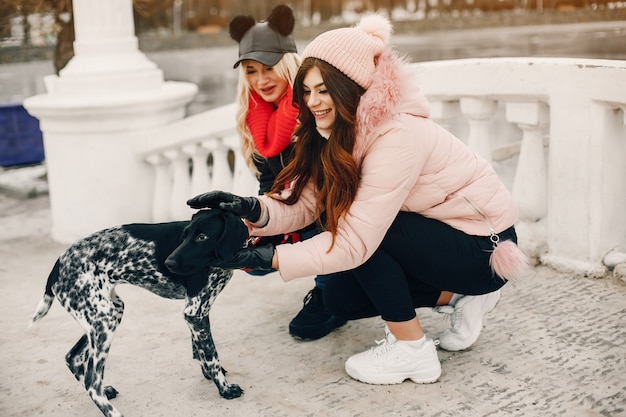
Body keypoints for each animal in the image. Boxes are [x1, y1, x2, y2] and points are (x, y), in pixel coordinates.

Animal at [29, 208, 249, 416]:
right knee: (92, 382)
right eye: (185, 235)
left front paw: (209, 375)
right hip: (104, 320)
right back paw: (113, 411)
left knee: (73, 358)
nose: (168, 263)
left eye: (202, 237)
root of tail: (57, 266)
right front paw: (224, 389)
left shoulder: (197, 311)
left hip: (106, 314)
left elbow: (200, 349)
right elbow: (212, 355)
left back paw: (105, 389)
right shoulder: (194, 311)